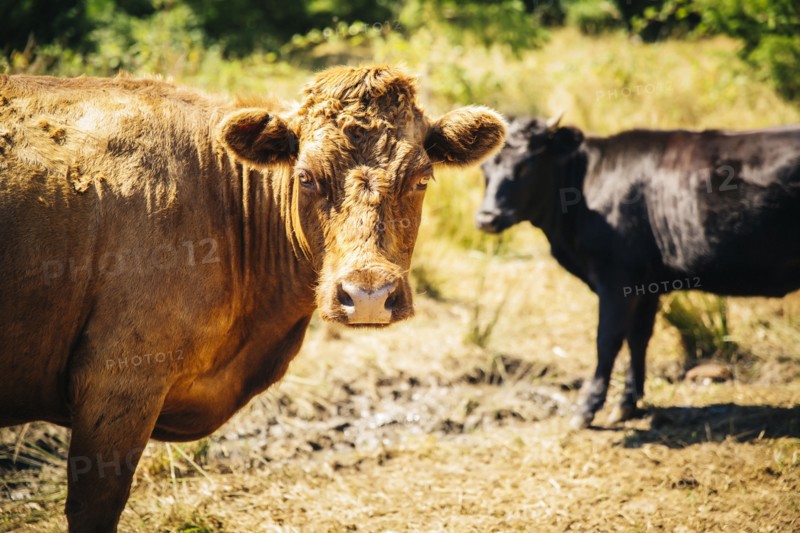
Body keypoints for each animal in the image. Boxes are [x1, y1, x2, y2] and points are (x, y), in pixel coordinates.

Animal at [476, 115, 800, 429]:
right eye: (485, 167)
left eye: (527, 164)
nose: (487, 218)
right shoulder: (646, 287)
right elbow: (638, 338)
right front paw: (627, 403)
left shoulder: (616, 279)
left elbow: (607, 340)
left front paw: (587, 408)